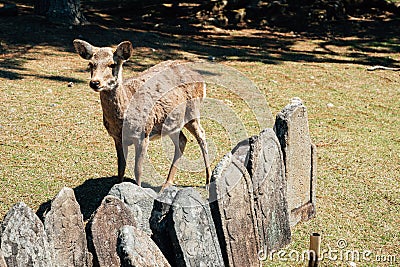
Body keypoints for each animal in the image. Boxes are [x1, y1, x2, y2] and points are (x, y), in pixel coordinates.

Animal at [74, 40, 212, 191]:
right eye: (91, 64)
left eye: (112, 64)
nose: (95, 82)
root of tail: (201, 79)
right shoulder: (117, 138)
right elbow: (121, 167)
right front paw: (117, 188)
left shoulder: (143, 135)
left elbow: (137, 170)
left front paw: (138, 190)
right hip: (171, 122)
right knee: (182, 140)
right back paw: (167, 183)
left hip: (193, 110)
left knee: (201, 134)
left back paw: (208, 181)